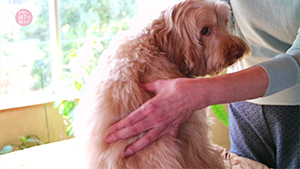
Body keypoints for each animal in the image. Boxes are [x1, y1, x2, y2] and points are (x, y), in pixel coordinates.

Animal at [76, 0, 250, 168]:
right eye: (205, 30)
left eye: (224, 22)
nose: (239, 52)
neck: (156, 45)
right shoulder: (192, 131)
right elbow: (206, 158)